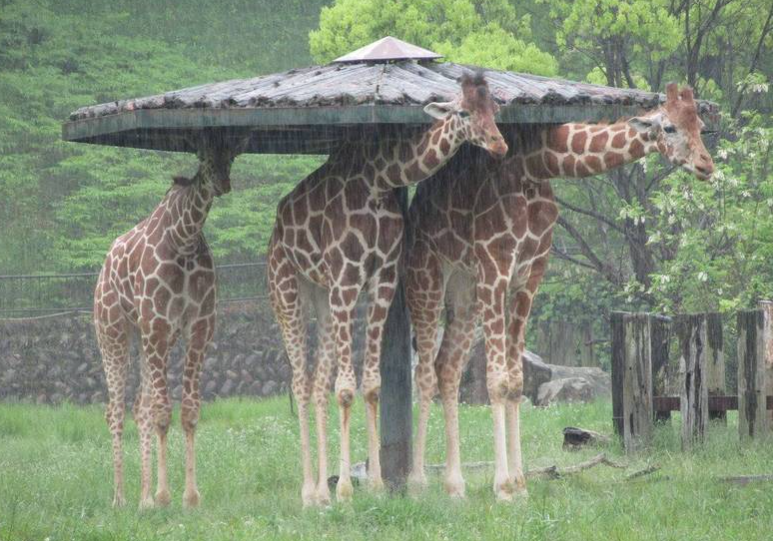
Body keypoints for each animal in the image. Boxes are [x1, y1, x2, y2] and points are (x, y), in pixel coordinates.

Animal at [92, 132, 247, 506]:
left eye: (232, 157)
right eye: (204, 157)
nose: (223, 183)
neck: (184, 238)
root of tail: (103, 269)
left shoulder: (198, 327)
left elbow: (187, 412)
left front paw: (188, 497)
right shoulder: (158, 323)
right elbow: (163, 413)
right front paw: (165, 496)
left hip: (144, 336)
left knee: (139, 407)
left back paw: (143, 499)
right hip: (113, 330)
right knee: (115, 410)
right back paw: (120, 498)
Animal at [268, 73, 510, 506]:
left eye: (493, 109)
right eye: (463, 113)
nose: (499, 145)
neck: (379, 178)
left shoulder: (382, 276)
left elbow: (371, 385)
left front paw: (377, 485)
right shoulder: (348, 275)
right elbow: (346, 388)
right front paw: (348, 490)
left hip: (321, 294)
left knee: (315, 384)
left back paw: (321, 492)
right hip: (286, 290)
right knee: (298, 381)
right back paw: (309, 491)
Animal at [408, 82, 716, 500]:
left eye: (700, 124)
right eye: (668, 127)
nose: (706, 166)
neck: (537, 163)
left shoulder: (529, 275)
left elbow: (515, 381)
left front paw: (519, 484)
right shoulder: (495, 267)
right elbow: (497, 379)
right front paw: (503, 487)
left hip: (464, 288)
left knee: (448, 367)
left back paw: (454, 486)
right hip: (426, 276)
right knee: (424, 371)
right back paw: (417, 483)